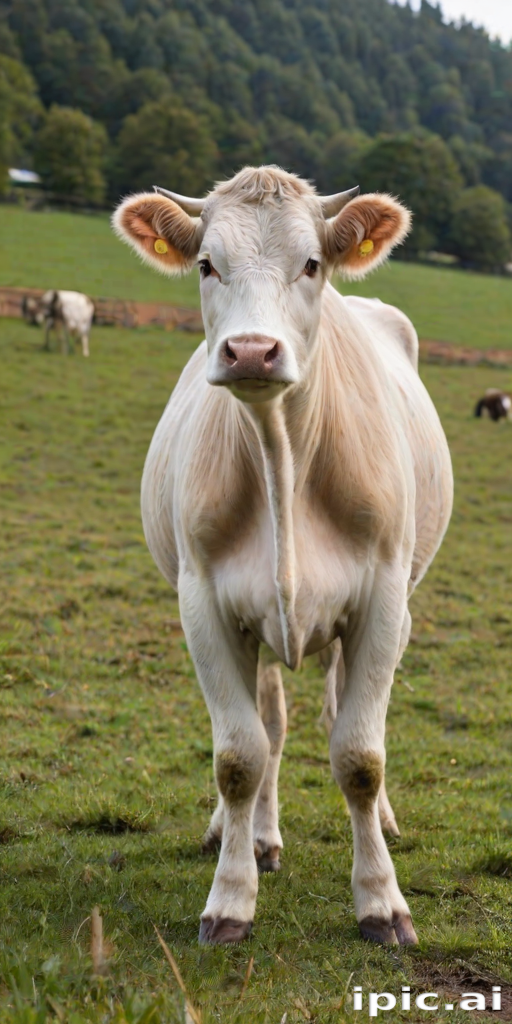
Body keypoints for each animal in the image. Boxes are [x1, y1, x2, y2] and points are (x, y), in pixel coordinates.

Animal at [113, 166, 453, 947]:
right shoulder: (205, 604)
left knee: (333, 718)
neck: (280, 454)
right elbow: (240, 755)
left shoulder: (382, 602)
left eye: (313, 263)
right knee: (268, 726)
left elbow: (359, 755)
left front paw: (381, 900)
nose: (249, 351)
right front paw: (231, 898)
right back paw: (253, 837)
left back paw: (379, 821)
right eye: (207, 265)